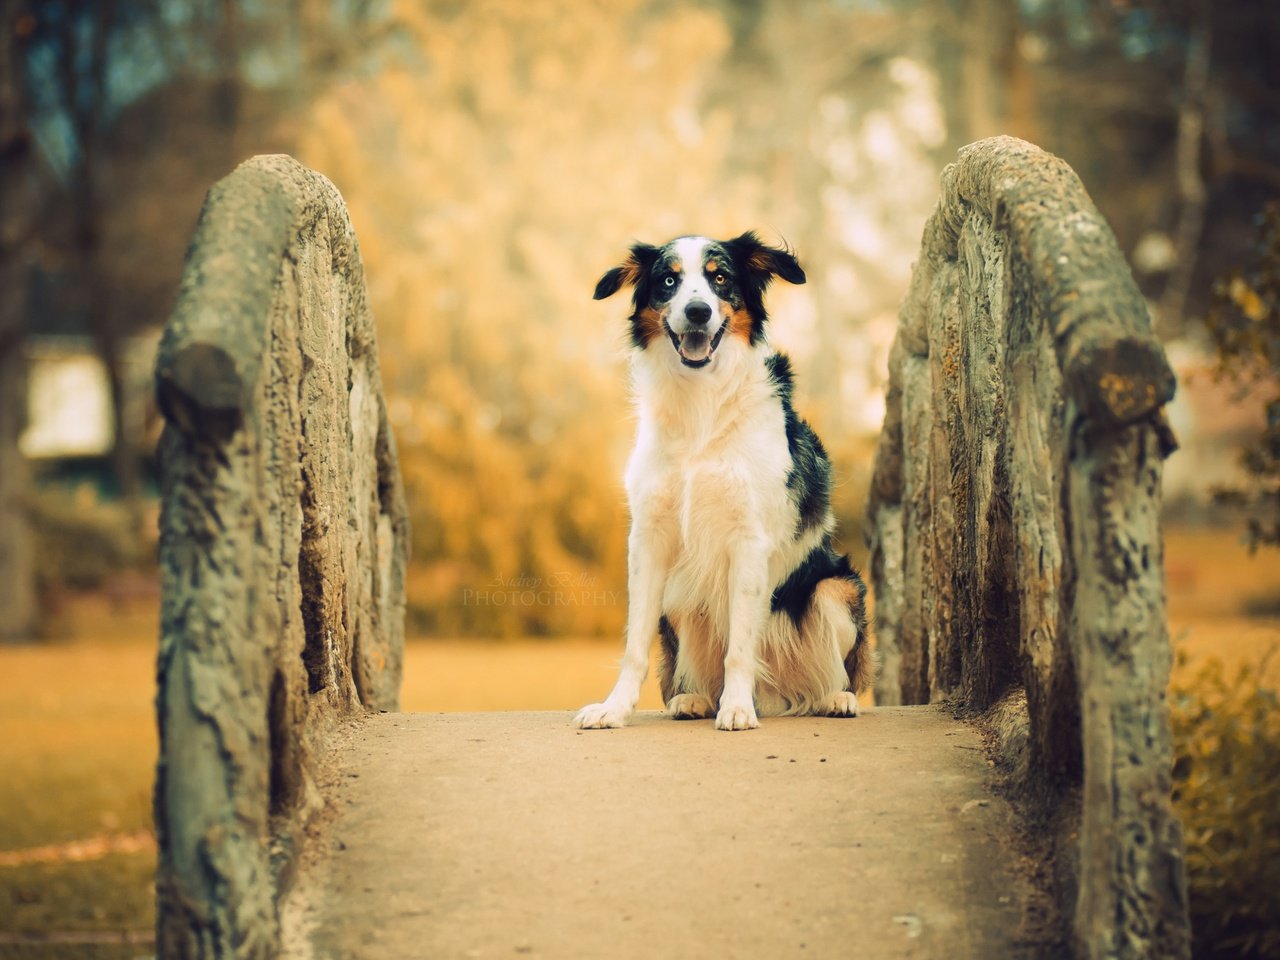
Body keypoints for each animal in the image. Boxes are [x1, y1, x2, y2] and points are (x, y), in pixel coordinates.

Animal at [578, 235, 870, 737]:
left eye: (720, 278)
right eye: (668, 280)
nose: (697, 312)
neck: (701, 402)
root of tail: (775, 698)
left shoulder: (749, 539)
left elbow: (740, 647)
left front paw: (736, 708)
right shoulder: (649, 538)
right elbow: (634, 646)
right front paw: (613, 709)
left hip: (837, 590)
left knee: (828, 673)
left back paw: (834, 698)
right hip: (678, 596)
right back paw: (693, 698)